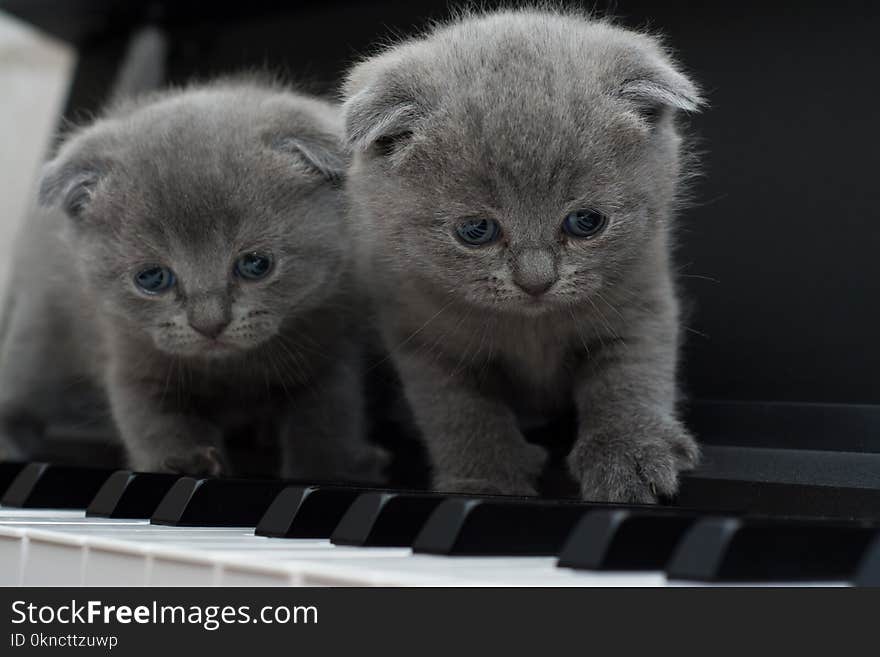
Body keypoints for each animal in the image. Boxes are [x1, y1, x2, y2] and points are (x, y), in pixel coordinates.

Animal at [0, 79, 384, 482]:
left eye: (256, 264)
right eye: (152, 278)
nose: (209, 323)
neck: (232, 371)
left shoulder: (331, 346)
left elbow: (327, 421)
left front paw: (331, 469)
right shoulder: (130, 357)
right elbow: (154, 424)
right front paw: (186, 463)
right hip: (43, 331)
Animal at [340, 7, 704, 502]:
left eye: (586, 222)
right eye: (476, 231)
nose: (536, 281)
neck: (531, 328)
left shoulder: (642, 298)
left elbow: (630, 377)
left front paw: (629, 455)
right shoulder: (419, 332)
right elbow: (460, 413)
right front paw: (485, 479)